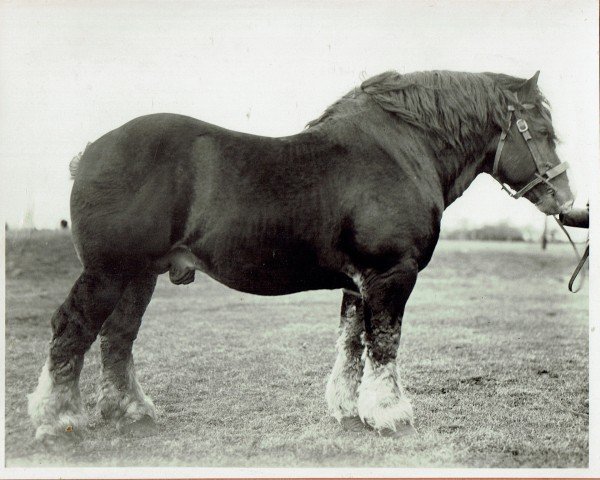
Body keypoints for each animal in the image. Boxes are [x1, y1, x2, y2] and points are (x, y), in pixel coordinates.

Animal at [27, 69, 572, 444]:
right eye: (543, 132)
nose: (565, 200)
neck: (401, 152)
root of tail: (91, 152)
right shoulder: (391, 275)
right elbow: (385, 345)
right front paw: (391, 415)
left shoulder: (359, 283)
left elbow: (352, 346)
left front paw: (351, 409)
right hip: (109, 272)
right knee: (72, 330)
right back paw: (59, 420)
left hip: (139, 276)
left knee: (117, 338)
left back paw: (131, 412)